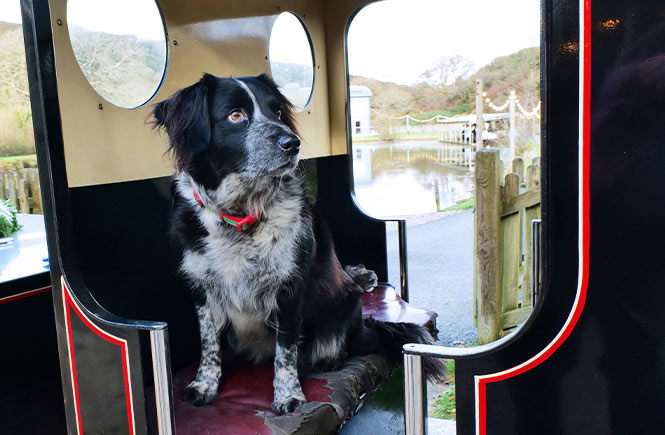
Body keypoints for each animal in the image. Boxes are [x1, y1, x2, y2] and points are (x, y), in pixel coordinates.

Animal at [149, 73, 440, 414]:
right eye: (235, 115)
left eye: (277, 112)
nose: (293, 143)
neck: (241, 214)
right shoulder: (202, 289)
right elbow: (209, 345)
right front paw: (204, 385)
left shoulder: (288, 289)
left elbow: (285, 351)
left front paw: (288, 395)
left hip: (344, 309)